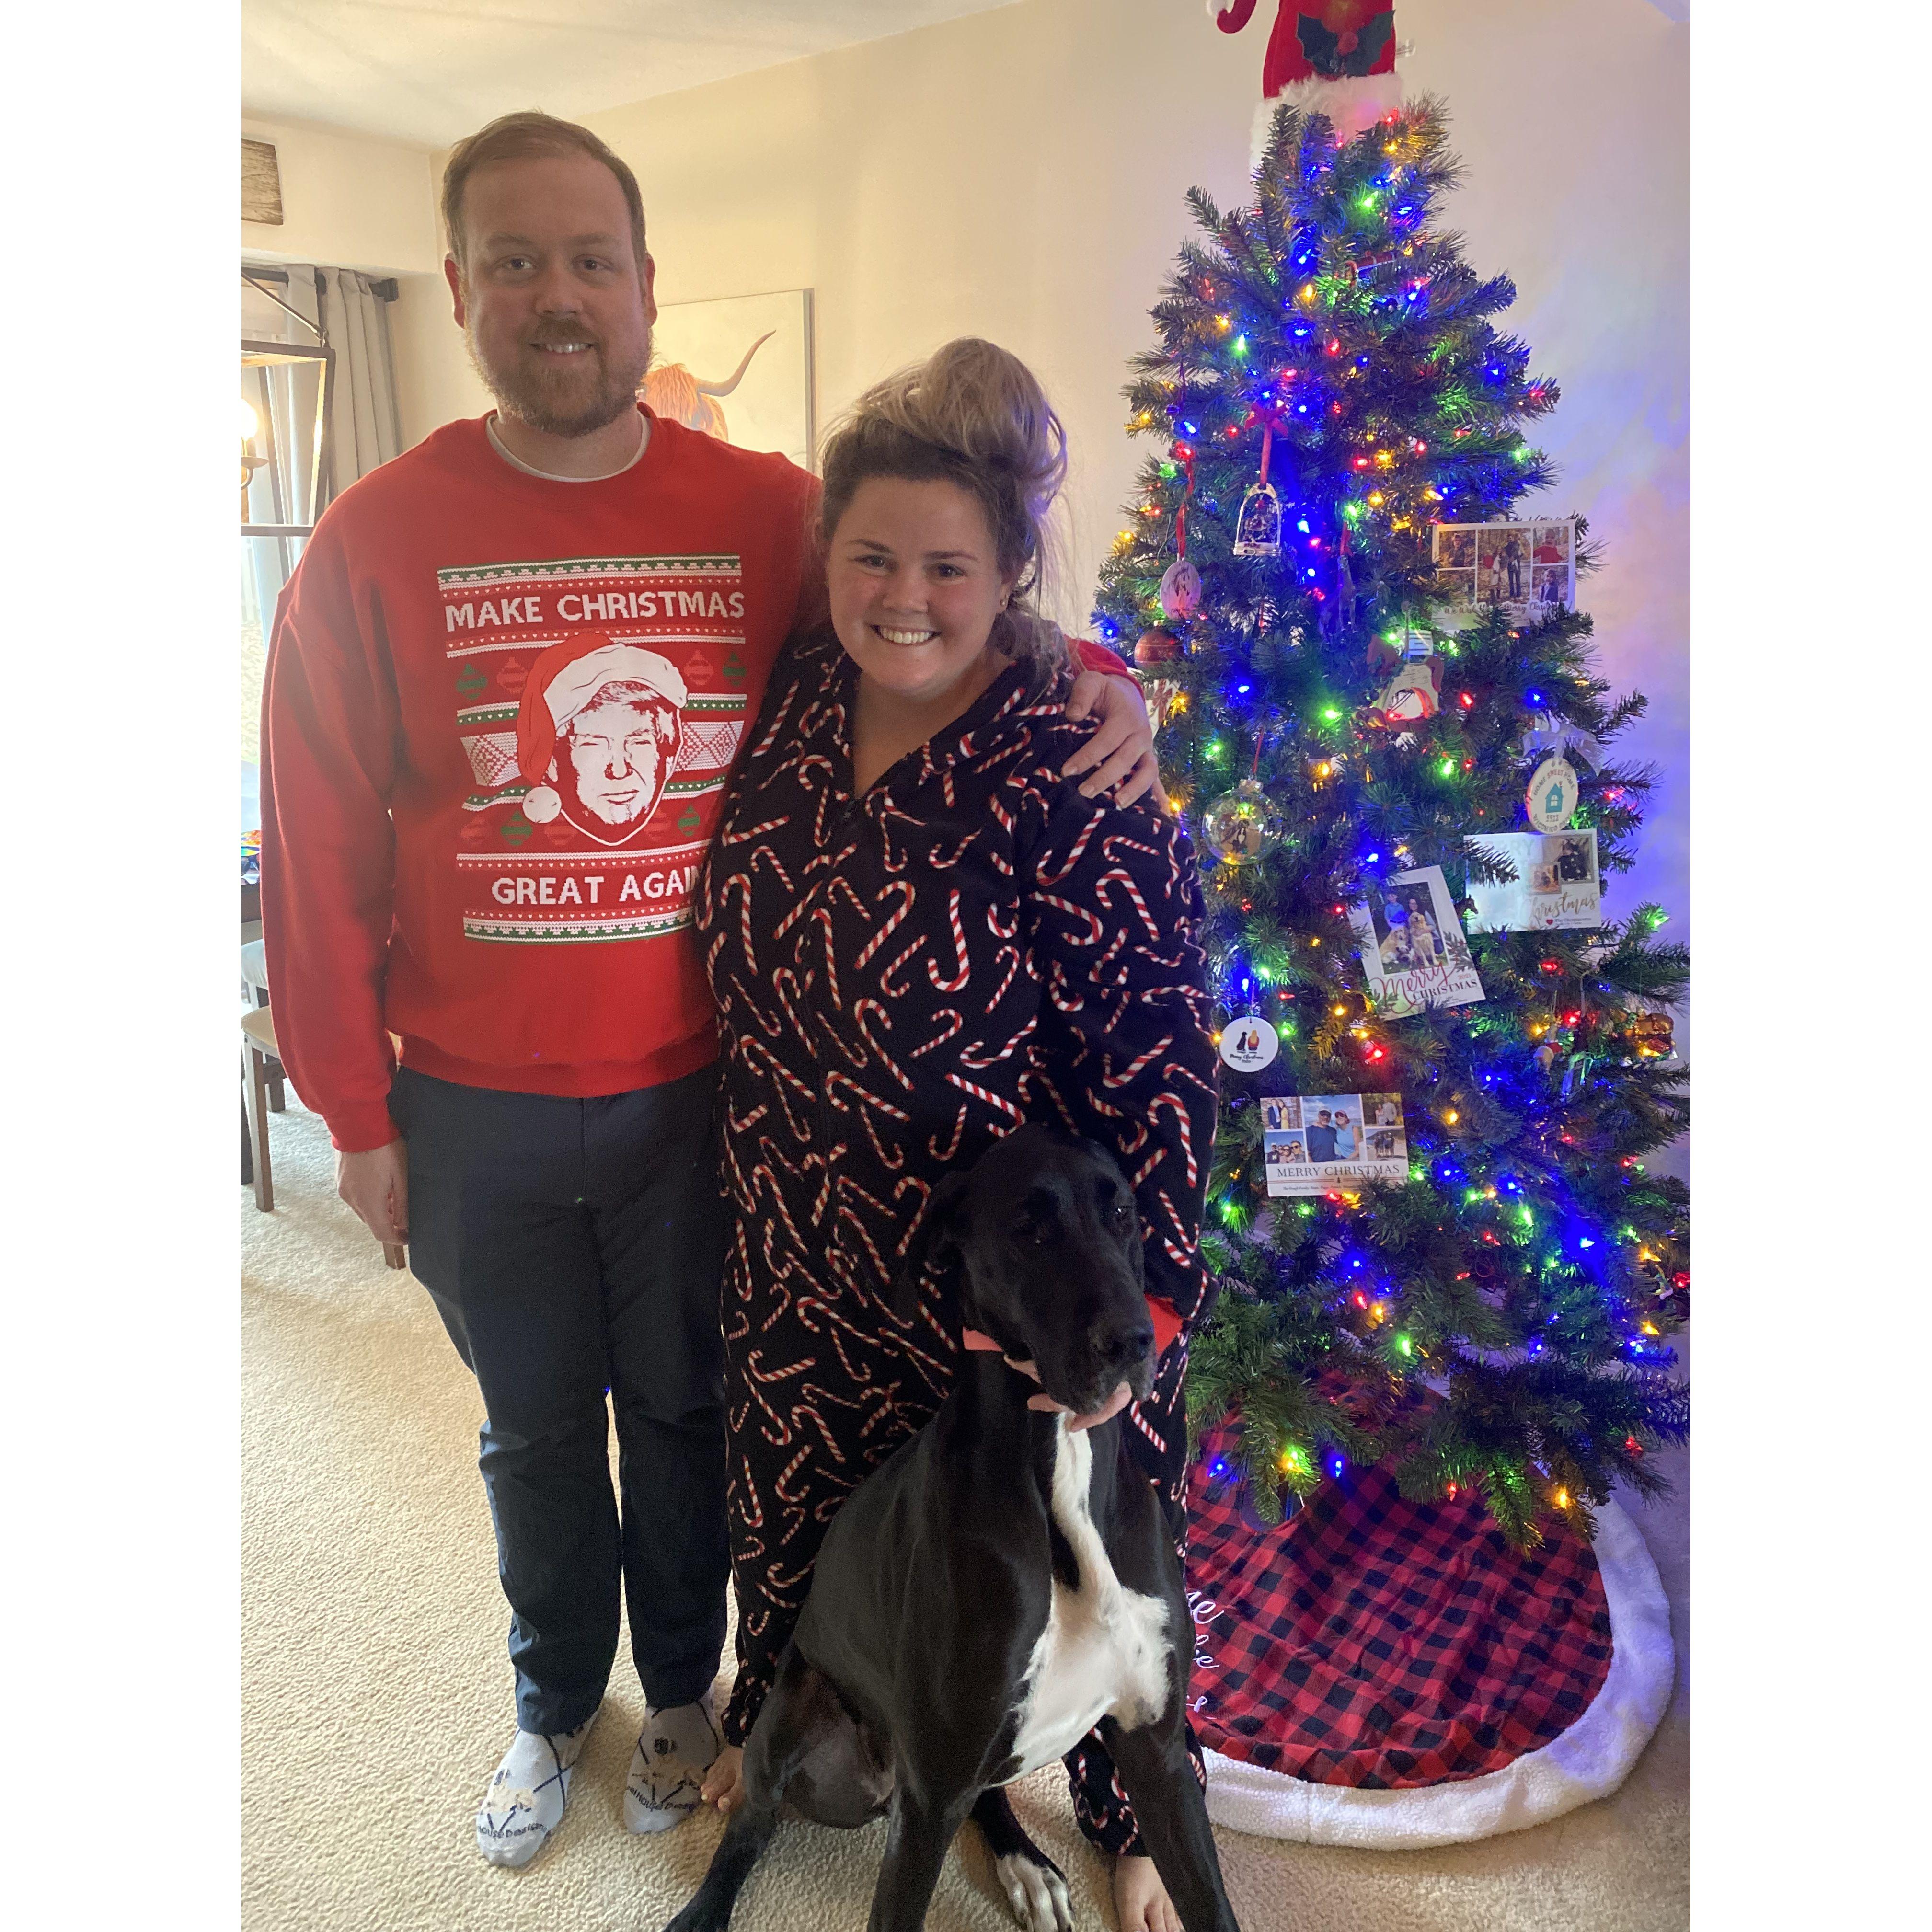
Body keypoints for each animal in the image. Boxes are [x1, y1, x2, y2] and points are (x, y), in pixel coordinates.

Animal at [665, 1124, 1242, 1932]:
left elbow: (1210, 1900)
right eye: (1029, 1229)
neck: (1057, 1463)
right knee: (753, 1818)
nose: (1132, 1341)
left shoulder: (1156, 1754)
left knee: (987, 1795)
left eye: (1124, 1215)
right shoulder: (930, 1797)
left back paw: (1025, 1864)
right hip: (798, 1721)